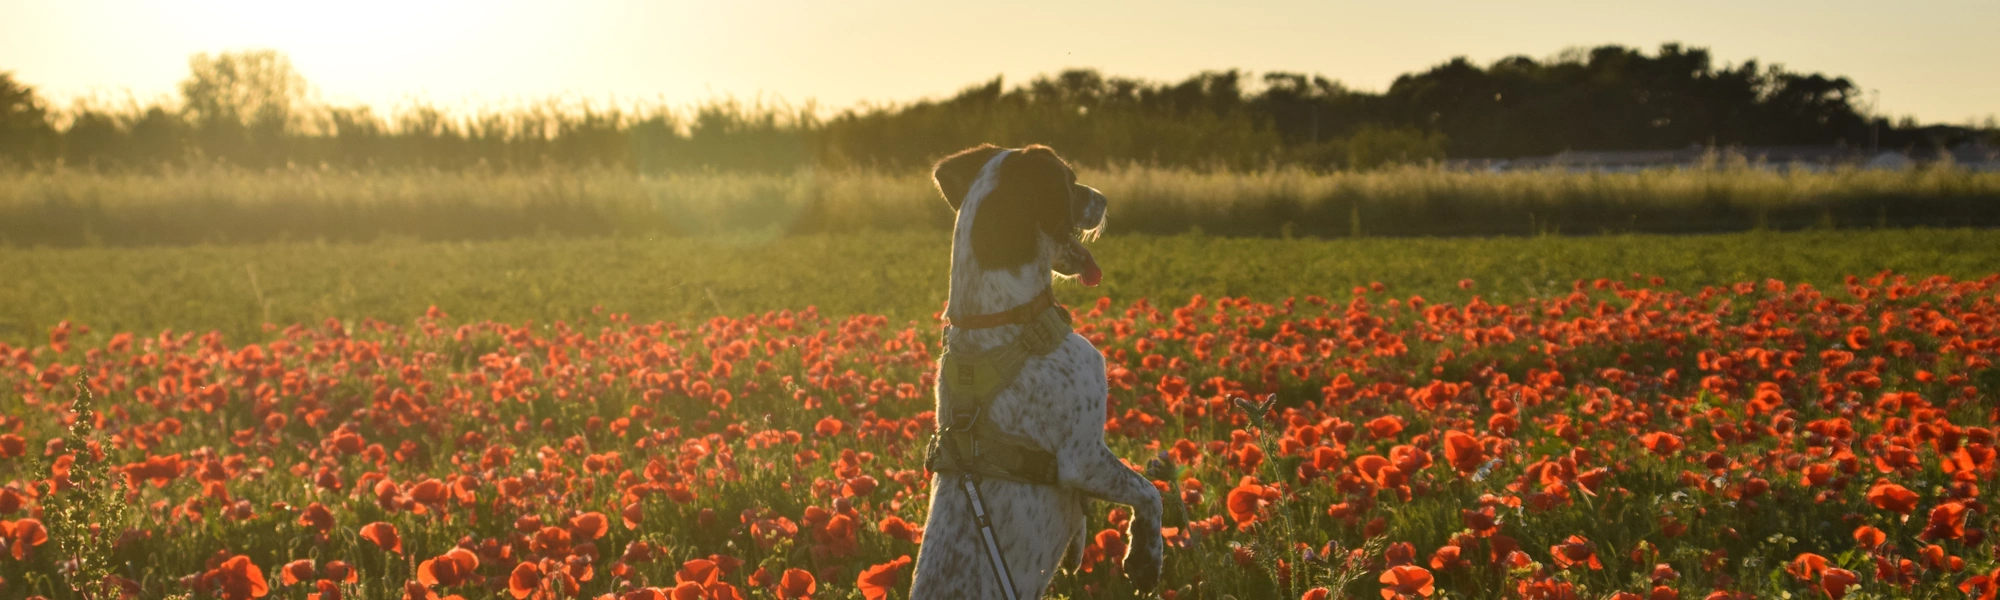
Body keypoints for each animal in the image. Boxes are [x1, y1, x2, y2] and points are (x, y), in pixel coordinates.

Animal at [912, 143, 1168, 596]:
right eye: (1070, 179)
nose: (1104, 198)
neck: (1008, 322)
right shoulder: (1083, 457)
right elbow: (1149, 492)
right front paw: (1145, 559)